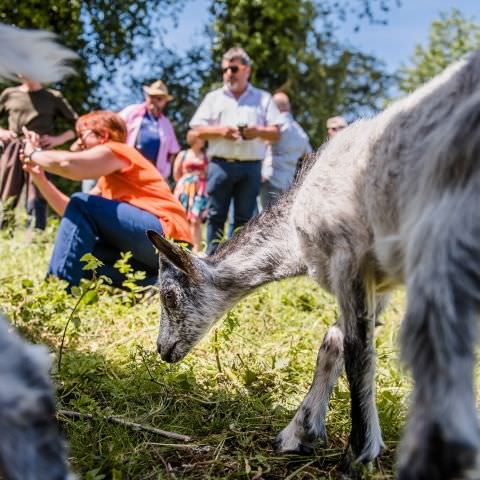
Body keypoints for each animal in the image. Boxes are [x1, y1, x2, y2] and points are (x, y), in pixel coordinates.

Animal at [148, 50, 480, 478]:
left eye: (170, 296)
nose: (162, 350)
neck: (292, 234)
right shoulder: (380, 283)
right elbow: (332, 340)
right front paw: (299, 431)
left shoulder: (348, 257)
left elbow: (358, 351)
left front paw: (359, 451)